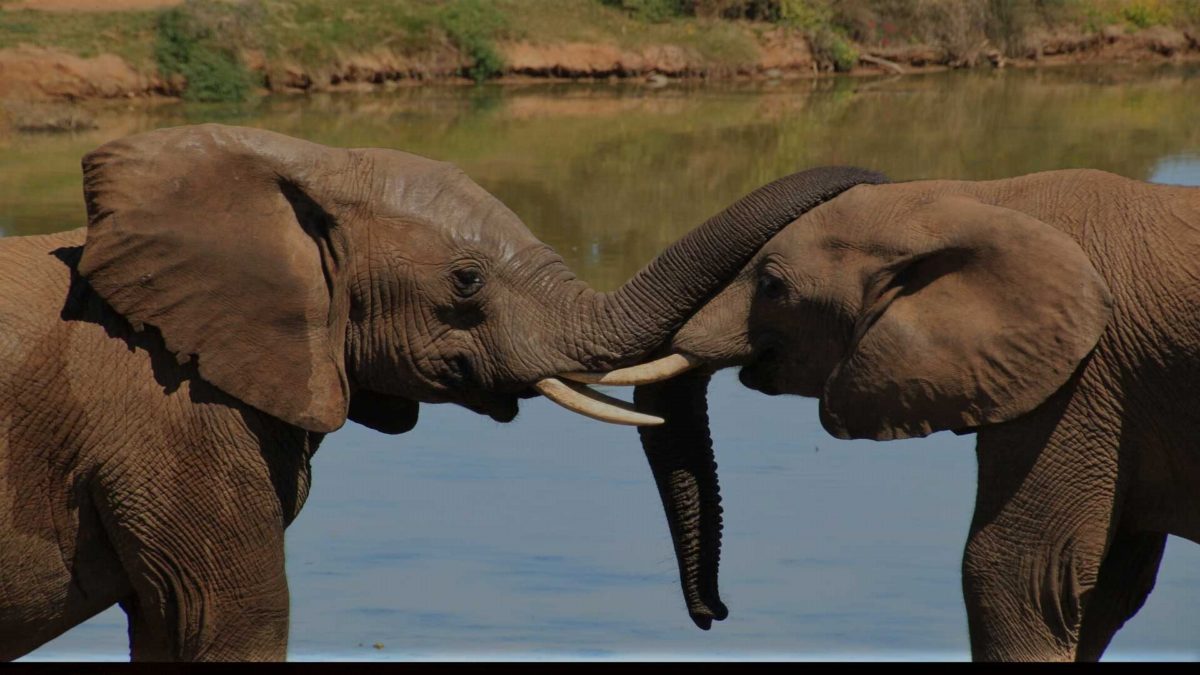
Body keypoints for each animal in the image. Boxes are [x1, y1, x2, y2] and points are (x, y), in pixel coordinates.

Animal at [581, 169, 1200, 661]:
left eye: (772, 287)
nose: (716, 613)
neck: (983, 200)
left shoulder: (1083, 380)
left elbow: (1014, 574)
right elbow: (1105, 590)